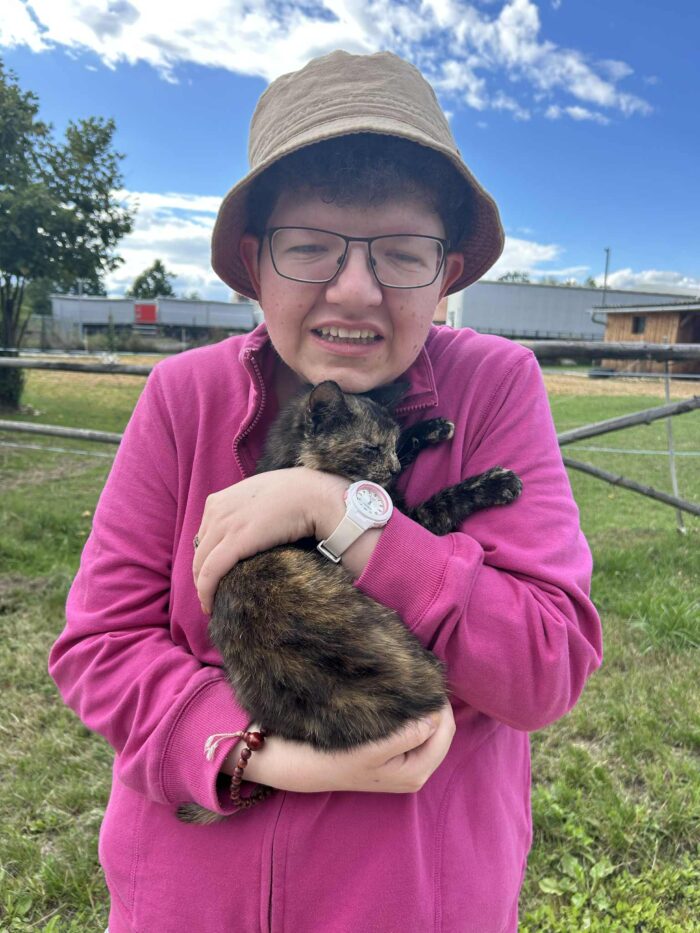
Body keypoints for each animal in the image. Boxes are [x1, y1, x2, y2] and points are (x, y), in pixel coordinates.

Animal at [178, 381, 521, 823]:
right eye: (371, 447)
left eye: (389, 443)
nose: (391, 468)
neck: (286, 460)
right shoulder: (413, 516)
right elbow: (440, 503)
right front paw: (493, 484)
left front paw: (427, 428)